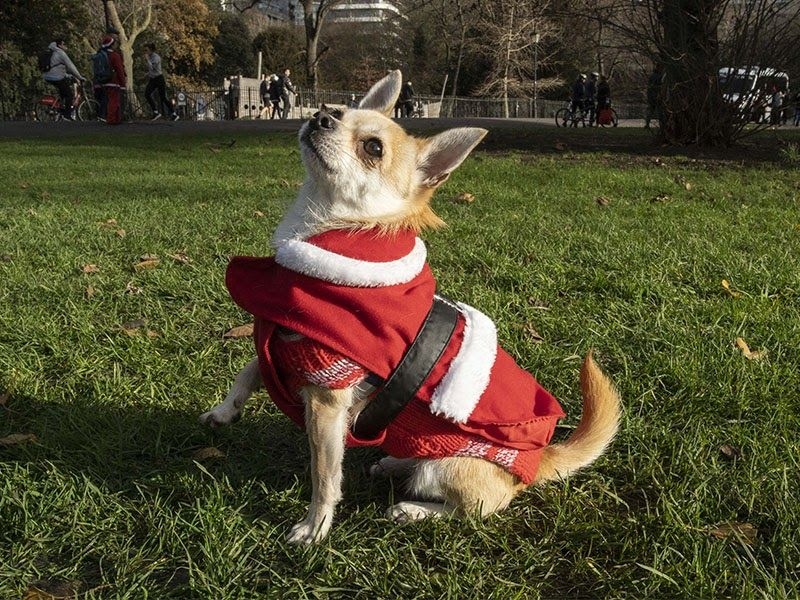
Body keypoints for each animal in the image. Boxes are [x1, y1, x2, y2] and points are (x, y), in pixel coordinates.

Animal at [202, 70, 624, 544]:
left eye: (373, 148)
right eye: (337, 111)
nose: (321, 116)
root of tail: (536, 464)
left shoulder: (327, 394)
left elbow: (324, 475)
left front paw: (315, 525)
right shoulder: (291, 347)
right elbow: (249, 370)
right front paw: (224, 410)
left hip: (449, 469)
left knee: (473, 511)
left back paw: (414, 510)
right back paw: (393, 460)